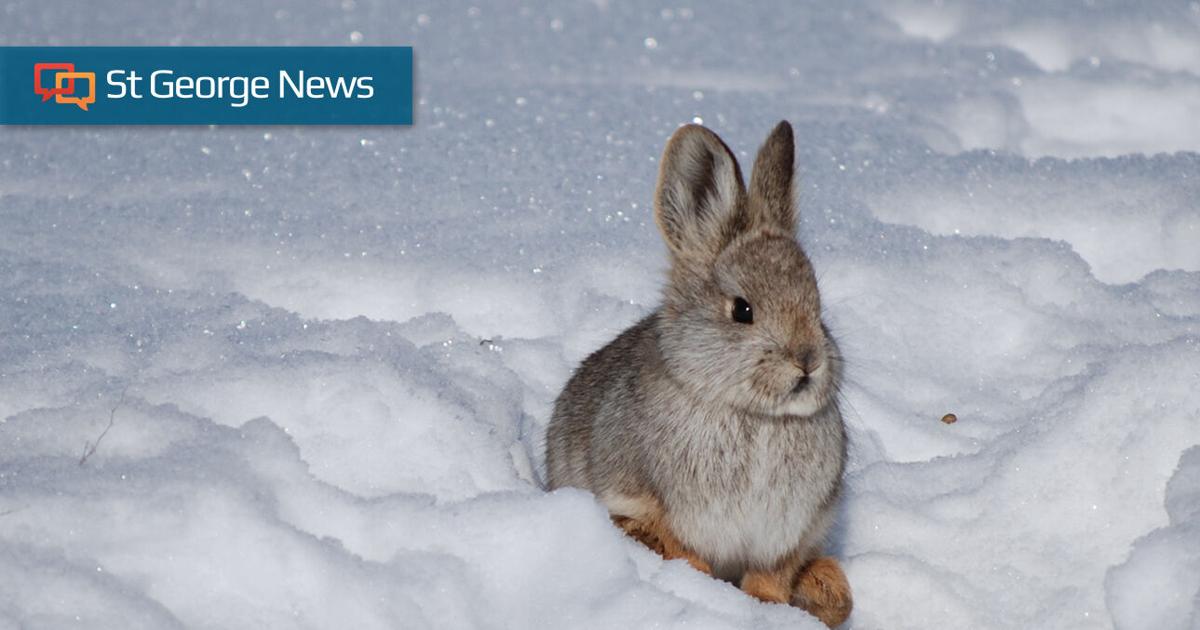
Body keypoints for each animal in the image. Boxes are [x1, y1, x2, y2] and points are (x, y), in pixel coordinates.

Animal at [545, 121, 852, 627]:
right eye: (743, 310)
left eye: (817, 307)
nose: (808, 361)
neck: (753, 414)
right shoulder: (642, 499)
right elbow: (679, 549)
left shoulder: (788, 531)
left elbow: (770, 576)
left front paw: (769, 607)